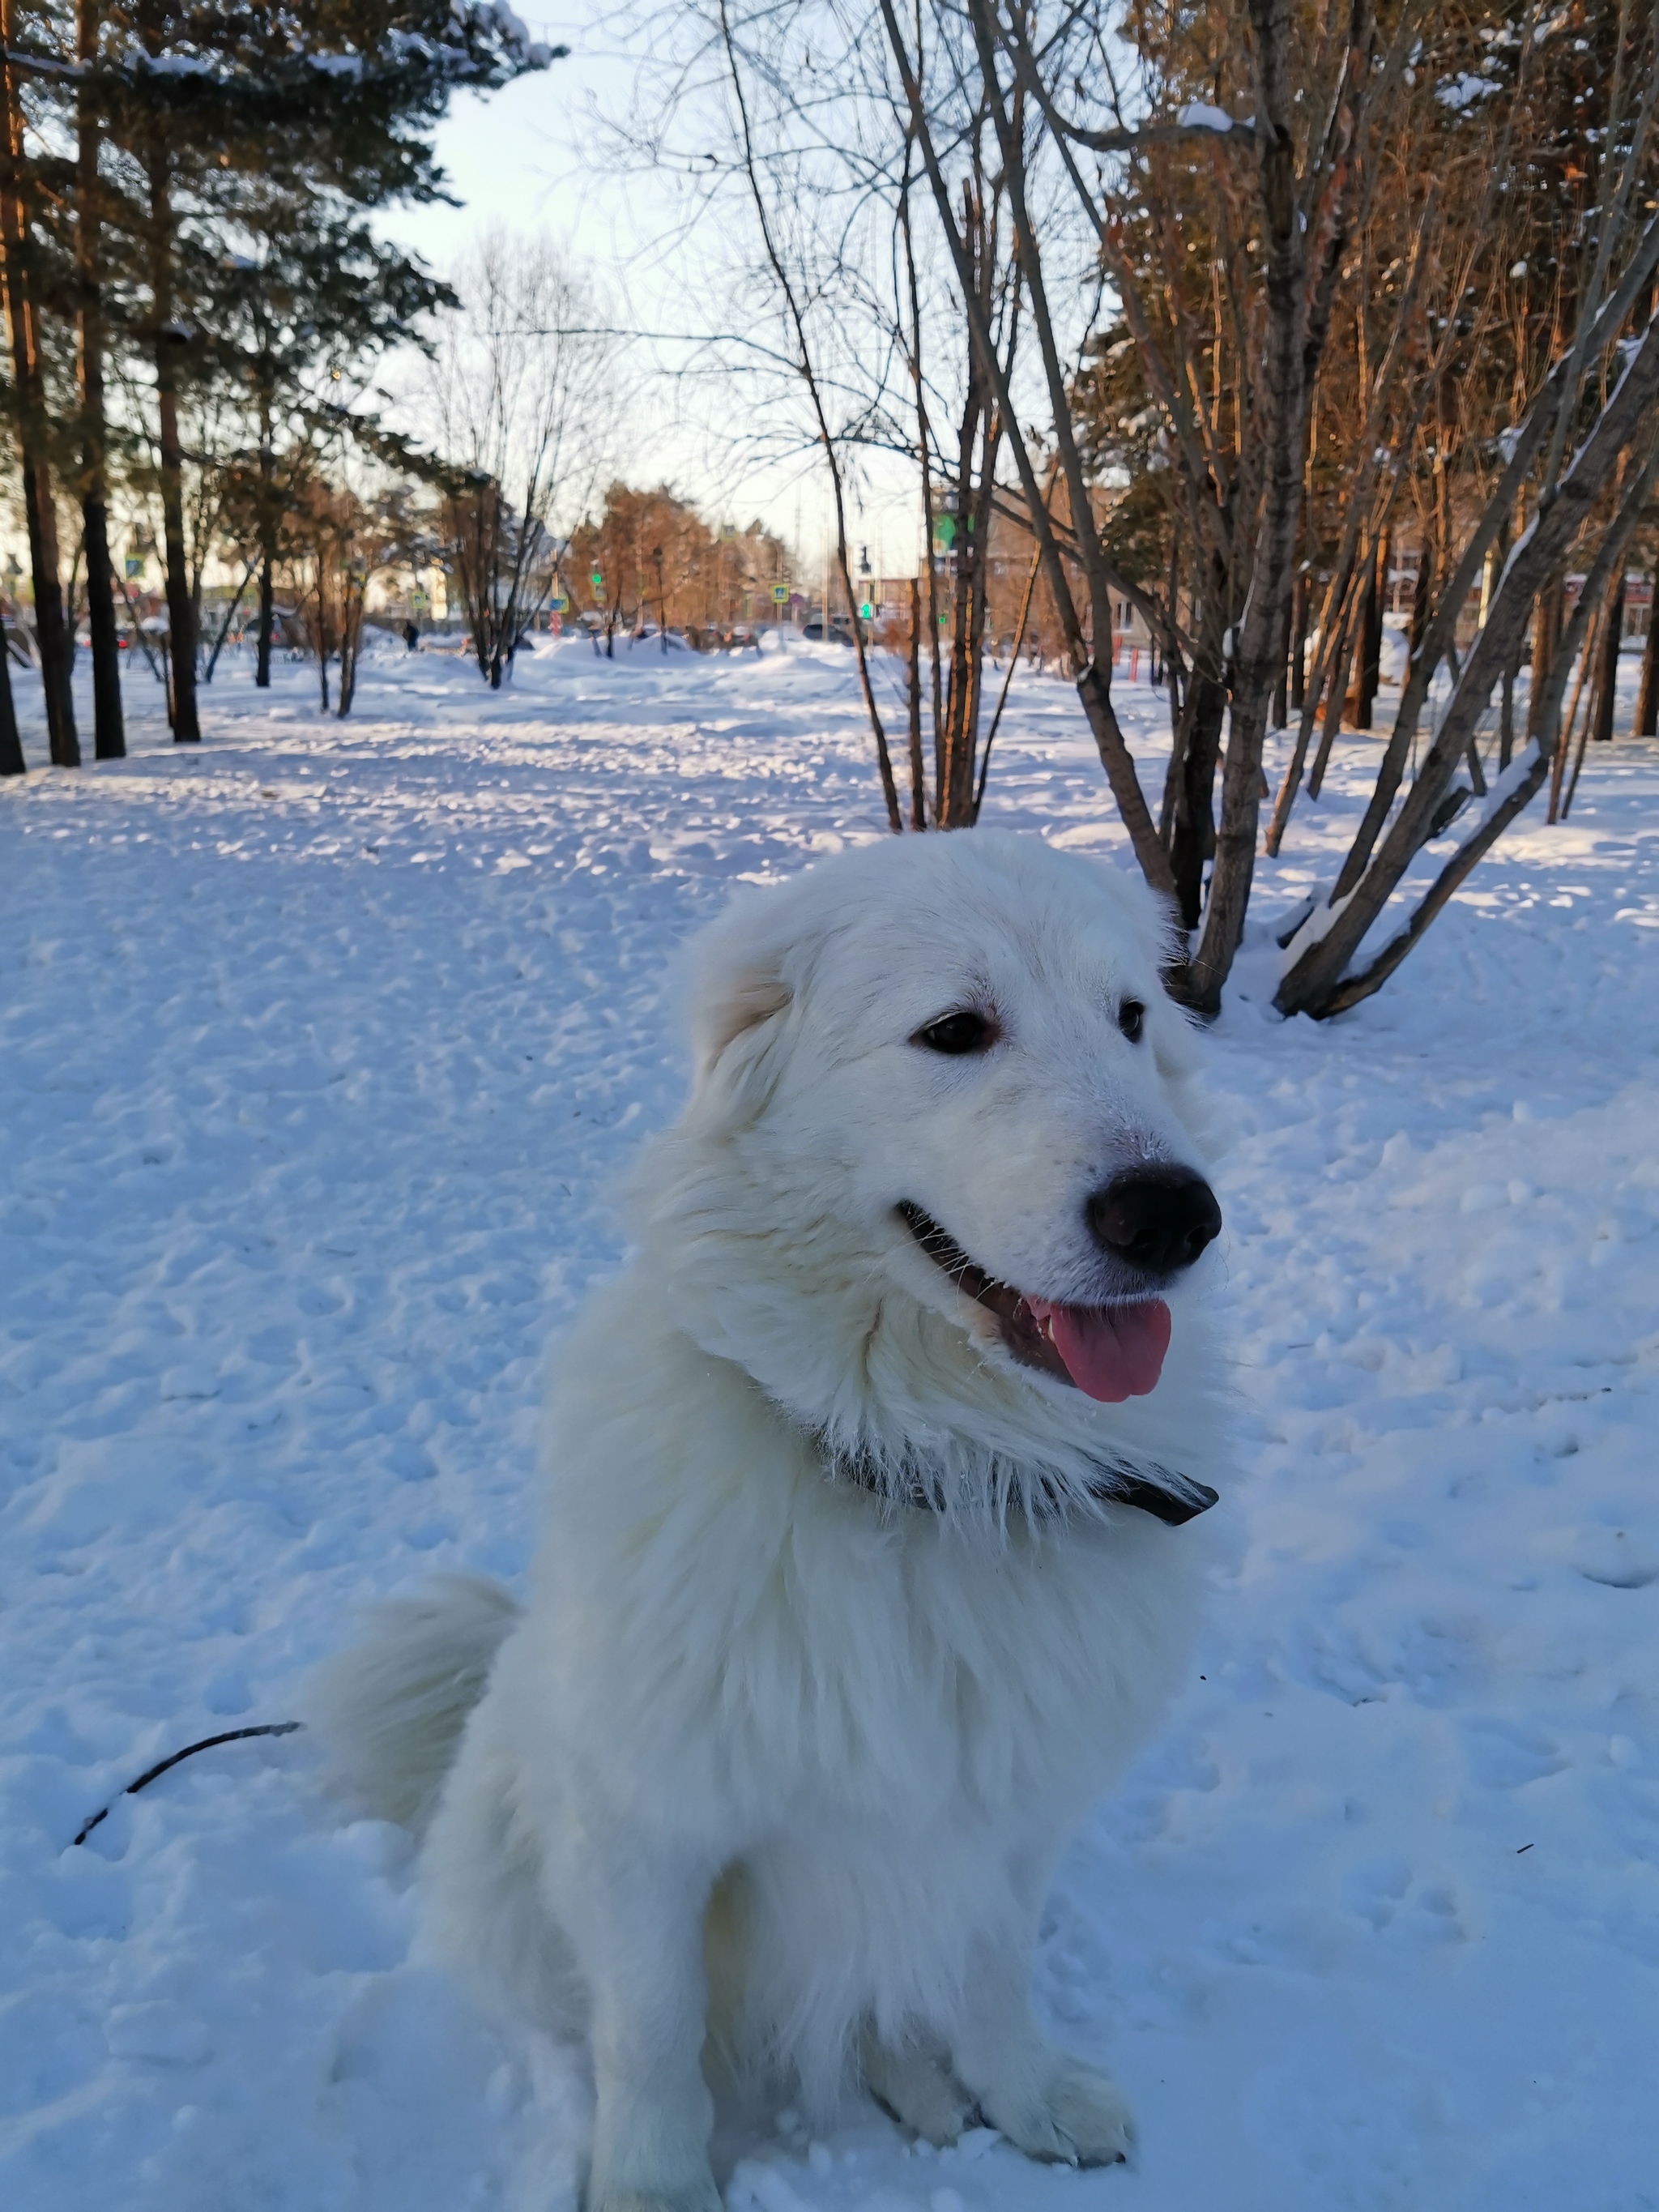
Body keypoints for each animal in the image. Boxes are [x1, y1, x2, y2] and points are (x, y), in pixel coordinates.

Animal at [312, 831, 1230, 2212]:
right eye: (956, 1030)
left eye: (1130, 1017)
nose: (1174, 1212)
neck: (927, 1468)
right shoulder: (647, 1828)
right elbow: (650, 2031)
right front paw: (652, 2187)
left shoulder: (1010, 1810)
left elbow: (992, 1970)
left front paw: (1025, 2096)